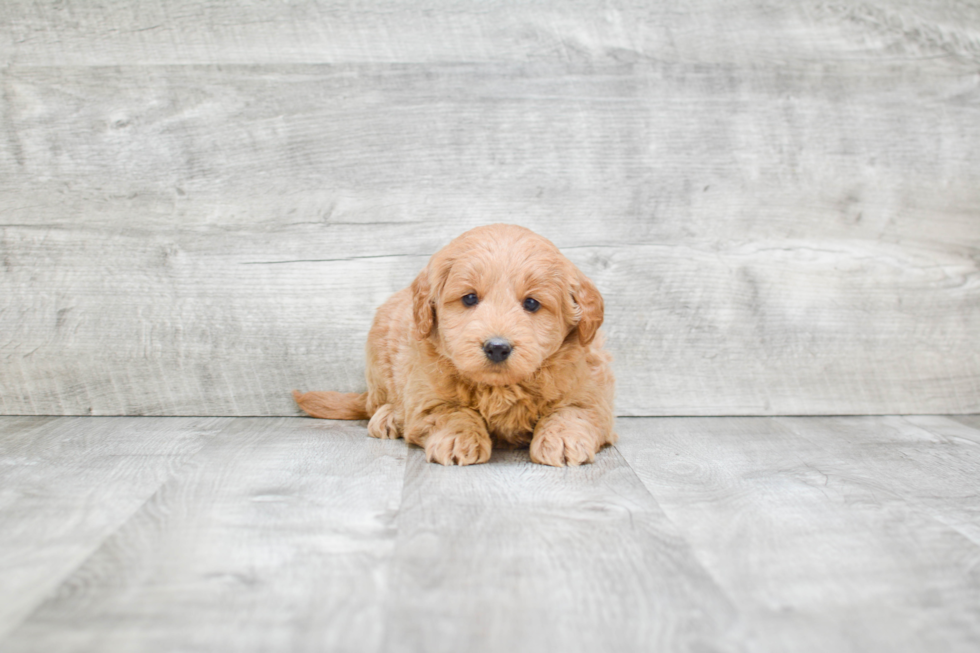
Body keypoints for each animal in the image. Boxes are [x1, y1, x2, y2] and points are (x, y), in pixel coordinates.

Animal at [292, 224, 612, 464]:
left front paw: (563, 439)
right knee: (378, 402)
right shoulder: (428, 398)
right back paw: (389, 417)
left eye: (532, 303)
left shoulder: (592, 395)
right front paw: (459, 439)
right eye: (469, 298)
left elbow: (572, 412)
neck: (500, 388)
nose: (497, 347)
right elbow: (452, 413)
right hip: (378, 357)